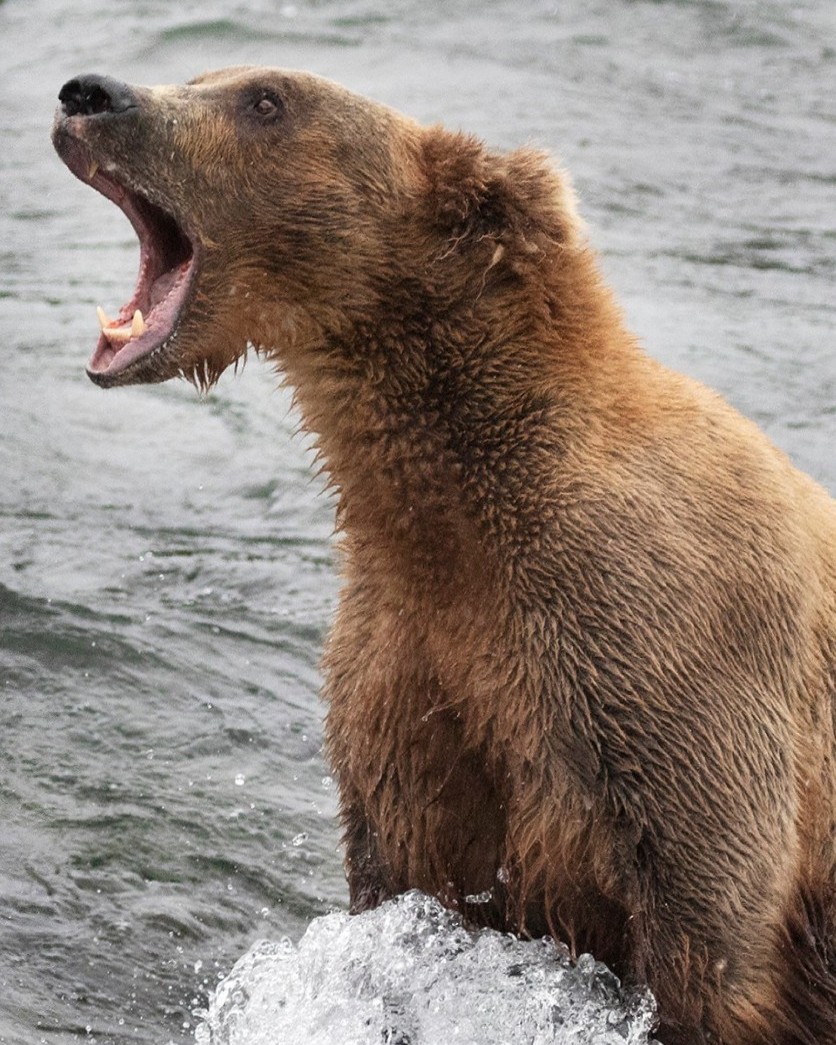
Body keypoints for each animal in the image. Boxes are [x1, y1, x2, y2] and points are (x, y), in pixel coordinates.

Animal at [52, 68, 836, 1044]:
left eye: (267, 98)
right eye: (203, 75)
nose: (91, 94)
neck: (451, 517)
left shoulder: (669, 664)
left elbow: (710, 942)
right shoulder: (411, 672)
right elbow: (407, 894)